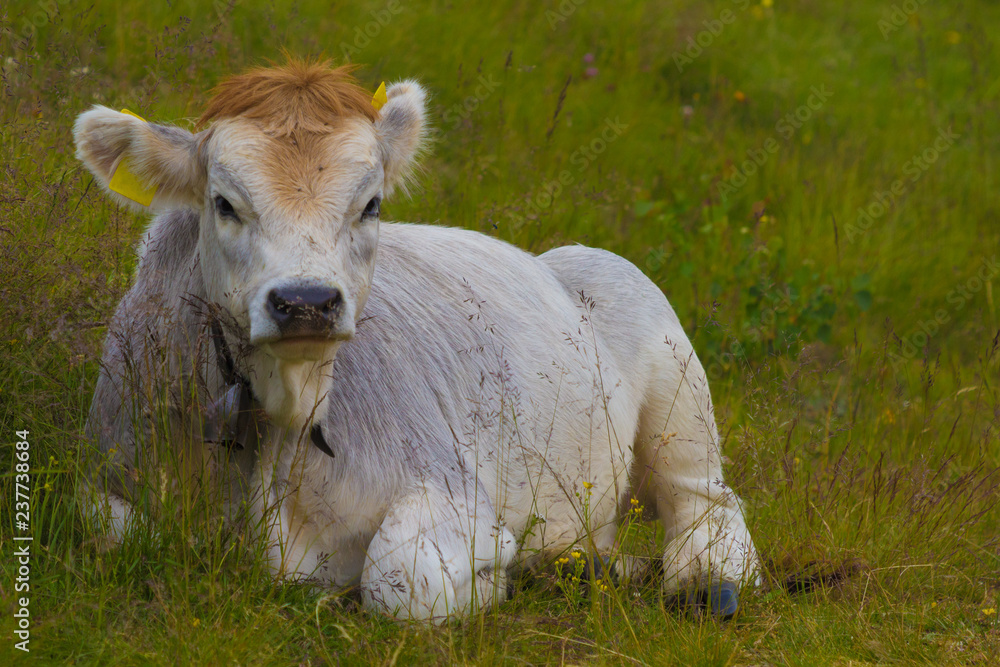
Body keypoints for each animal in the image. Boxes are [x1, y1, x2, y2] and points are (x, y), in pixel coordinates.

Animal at [74, 59, 758, 621]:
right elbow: (110, 528)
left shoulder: (450, 485)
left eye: (370, 204)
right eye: (223, 203)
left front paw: (502, 576)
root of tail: (554, 257)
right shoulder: (109, 469)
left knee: (706, 504)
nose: (306, 302)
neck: (285, 415)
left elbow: (402, 577)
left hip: (677, 395)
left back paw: (701, 578)